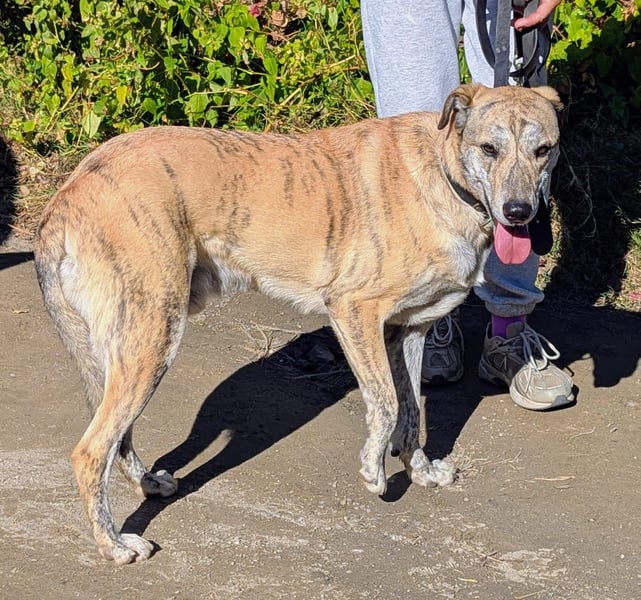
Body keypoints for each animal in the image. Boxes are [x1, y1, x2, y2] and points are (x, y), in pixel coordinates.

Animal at [34, 83, 562, 564]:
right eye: (489, 149)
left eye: (544, 150)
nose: (519, 213)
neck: (444, 174)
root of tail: (68, 193)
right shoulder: (353, 311)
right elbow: (387, 404)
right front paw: (374, 470)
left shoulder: (409, 330)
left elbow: (412, 411)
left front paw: (420, 470)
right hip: (152, 340)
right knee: (91, 452)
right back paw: (114, 545)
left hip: (129, 350)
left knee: (116, 440)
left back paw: (147, 483)